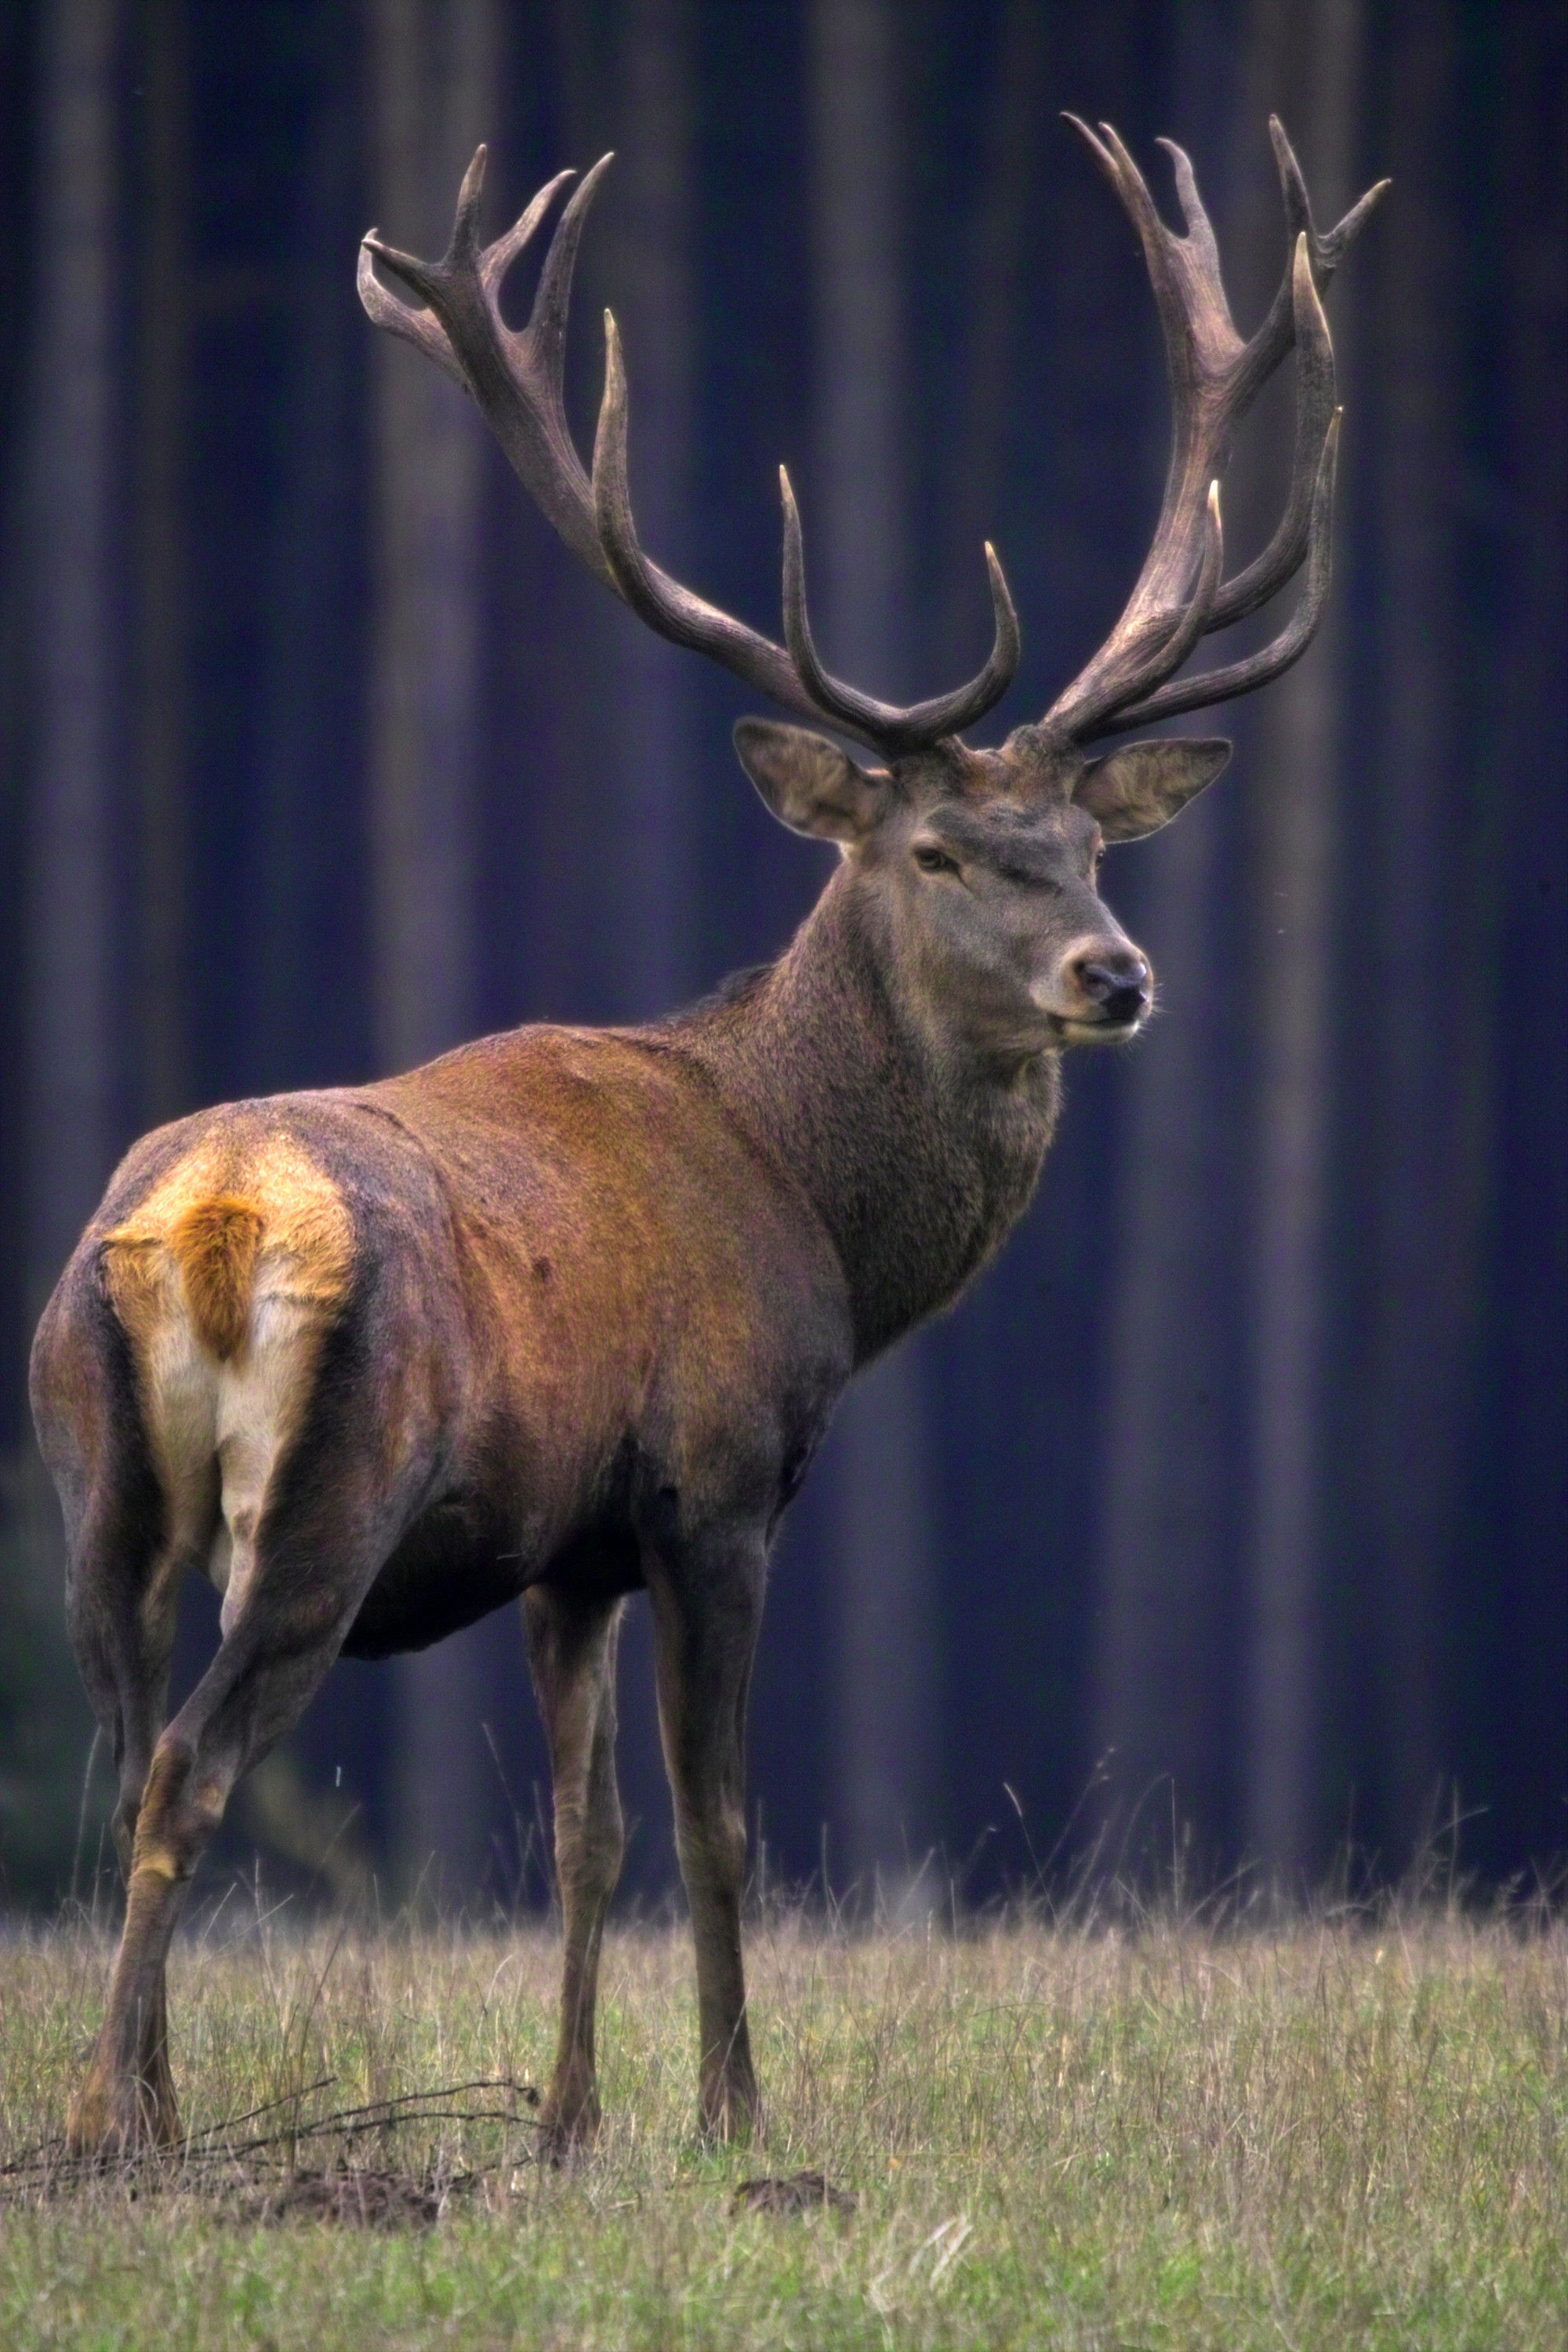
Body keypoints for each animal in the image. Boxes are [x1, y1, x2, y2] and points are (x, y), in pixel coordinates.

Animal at [32, 116, 1384, 2158]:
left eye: (1088, 841)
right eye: (937, 850)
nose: (1117, 971)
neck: (801, 1188)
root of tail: (200, 1225)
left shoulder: (565, 1547)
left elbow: (585, 1837)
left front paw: (568, 2119)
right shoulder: (715, 1479)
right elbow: (719, 1823)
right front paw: (737, 2118)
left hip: (95, 1485)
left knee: (122, 1759)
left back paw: (149, 2110)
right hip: (331, 1490)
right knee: (189, 1766)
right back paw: (131, 2122)